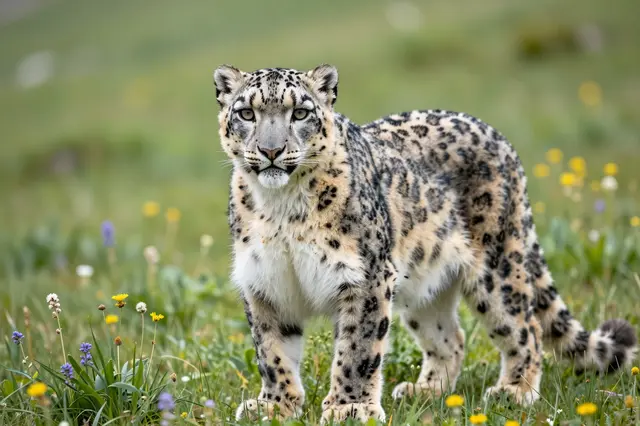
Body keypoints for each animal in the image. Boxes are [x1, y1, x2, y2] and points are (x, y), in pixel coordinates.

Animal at [212, 63, 637, 424]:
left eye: (300, 113)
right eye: (246, 113)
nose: (270, 151)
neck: (281, 209)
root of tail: (494, 133)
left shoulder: (365, 278)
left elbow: (357, 349)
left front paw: (350, 408)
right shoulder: (265, 282)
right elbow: (272, 351)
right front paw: (274, 406)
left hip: (497, 267)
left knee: (525, 326)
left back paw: (513, 391)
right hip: (422, 285)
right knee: (451, 337)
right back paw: (427, 391)